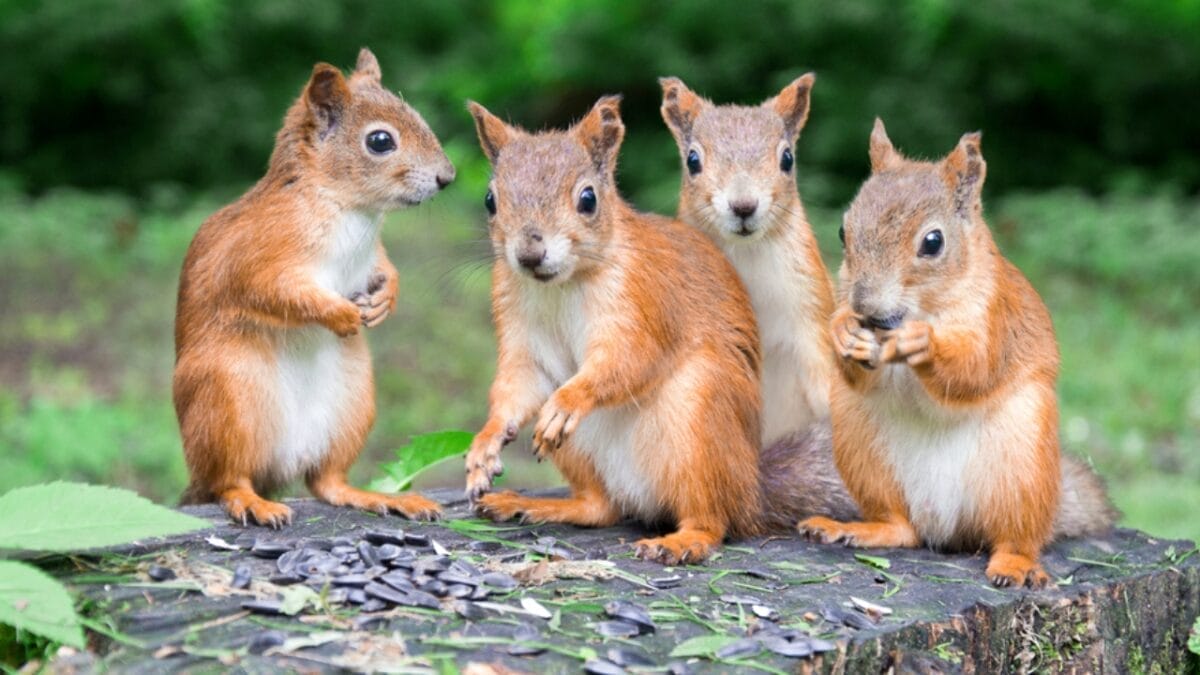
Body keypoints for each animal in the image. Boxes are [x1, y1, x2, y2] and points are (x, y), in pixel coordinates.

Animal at [174, 48, 455, 527]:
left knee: (326, 482)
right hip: (228, 398)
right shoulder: (254, 257)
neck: (350, 209)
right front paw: (340, 314)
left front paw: (385, 300)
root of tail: (281, 463)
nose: (447, 176)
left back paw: (376, 497)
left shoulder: (371, 254)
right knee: (228, 479)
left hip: (352, 405)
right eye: (380, 141)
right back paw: (251, 501)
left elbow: (386, 268)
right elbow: (274, 292)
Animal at [460, 95, 767, 564]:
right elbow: (521, 383)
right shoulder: (519, 324)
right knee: (600, 507)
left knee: (713, 518)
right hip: (582, 451)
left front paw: (568, 402)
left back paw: (682, 541)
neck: (563, 284)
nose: (529, 254)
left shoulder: (644, 301)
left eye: (588, 199)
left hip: (699, 418)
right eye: (490, 200)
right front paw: (486, 442)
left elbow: (629, 360)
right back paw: (531, 505)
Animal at [798, 120, 1117, 587]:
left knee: (1016, 534)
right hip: (861, 445)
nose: (865, 308)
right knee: (901, 526)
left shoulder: (995, 318)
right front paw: (843, 332)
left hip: (1020, 463)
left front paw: (923, 343)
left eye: (933, 242)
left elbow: (975, 370)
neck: (920, 309)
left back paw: (1016, 564)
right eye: (843, 231)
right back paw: (856, 528)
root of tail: (945, 525)